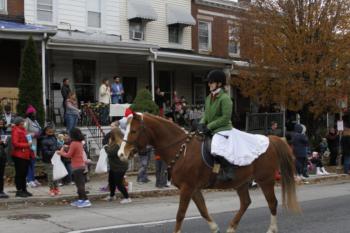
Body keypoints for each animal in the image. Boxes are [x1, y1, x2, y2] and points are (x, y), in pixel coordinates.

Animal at [118, 112, 300, 231]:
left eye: (134, 131)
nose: (121, 154)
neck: (180, 149)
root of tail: (270, 139)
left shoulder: (187, 188)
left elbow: (180, 214)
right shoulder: (193, 189)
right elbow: (203, 210)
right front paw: (214, 228)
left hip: (265, 180)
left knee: (272, 203)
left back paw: (271, 229)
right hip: (241, 182)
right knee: (245, 203)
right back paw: (231, 227)